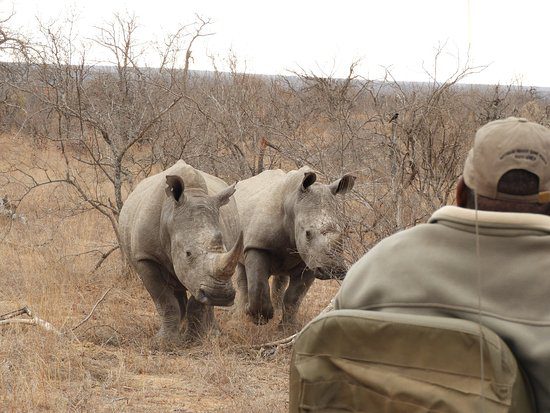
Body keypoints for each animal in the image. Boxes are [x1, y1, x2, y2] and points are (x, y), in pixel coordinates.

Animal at [119, 159, 243, 342]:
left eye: (224, 248)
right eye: (188, 253)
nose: (220, 295)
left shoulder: (202, 278)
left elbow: (198, 302)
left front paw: (192, 339)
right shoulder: (145, 257)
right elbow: (165, 300)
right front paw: (164, 342)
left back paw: (211, 333)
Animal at [234, 167, 358, 326]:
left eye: (342, 233)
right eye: (307, 234)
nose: (333, 270)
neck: (292, 204)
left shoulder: (311, 259)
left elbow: (293, 297)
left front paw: (287, 328)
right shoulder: (257, 245)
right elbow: (258, 286)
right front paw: (257, 317)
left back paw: (276, 310)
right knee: (241, 268)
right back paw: (241, 314)